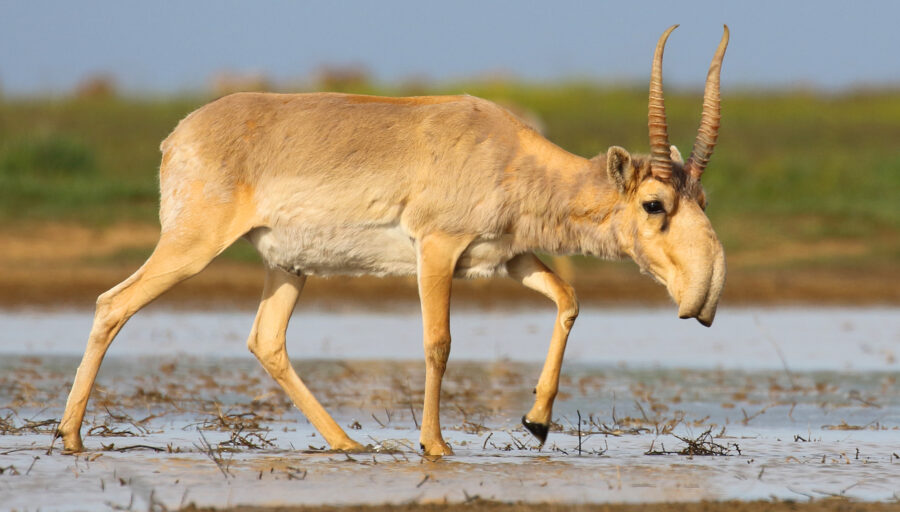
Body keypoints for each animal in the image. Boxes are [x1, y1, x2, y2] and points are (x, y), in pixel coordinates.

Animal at [56, 25, 728, 456]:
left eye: (702, 198)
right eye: (654, 203)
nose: (706, 295)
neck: (507, 151)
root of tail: (178, 135)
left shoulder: (507, 258)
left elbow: (569, 299)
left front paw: (536, 422)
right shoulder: (437, 250)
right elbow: (438, 343)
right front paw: (435, 445)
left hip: (288, 267)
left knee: (266, 340)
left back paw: (347, 442)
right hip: (191, 247)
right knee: (113, 303)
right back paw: (70, 435)